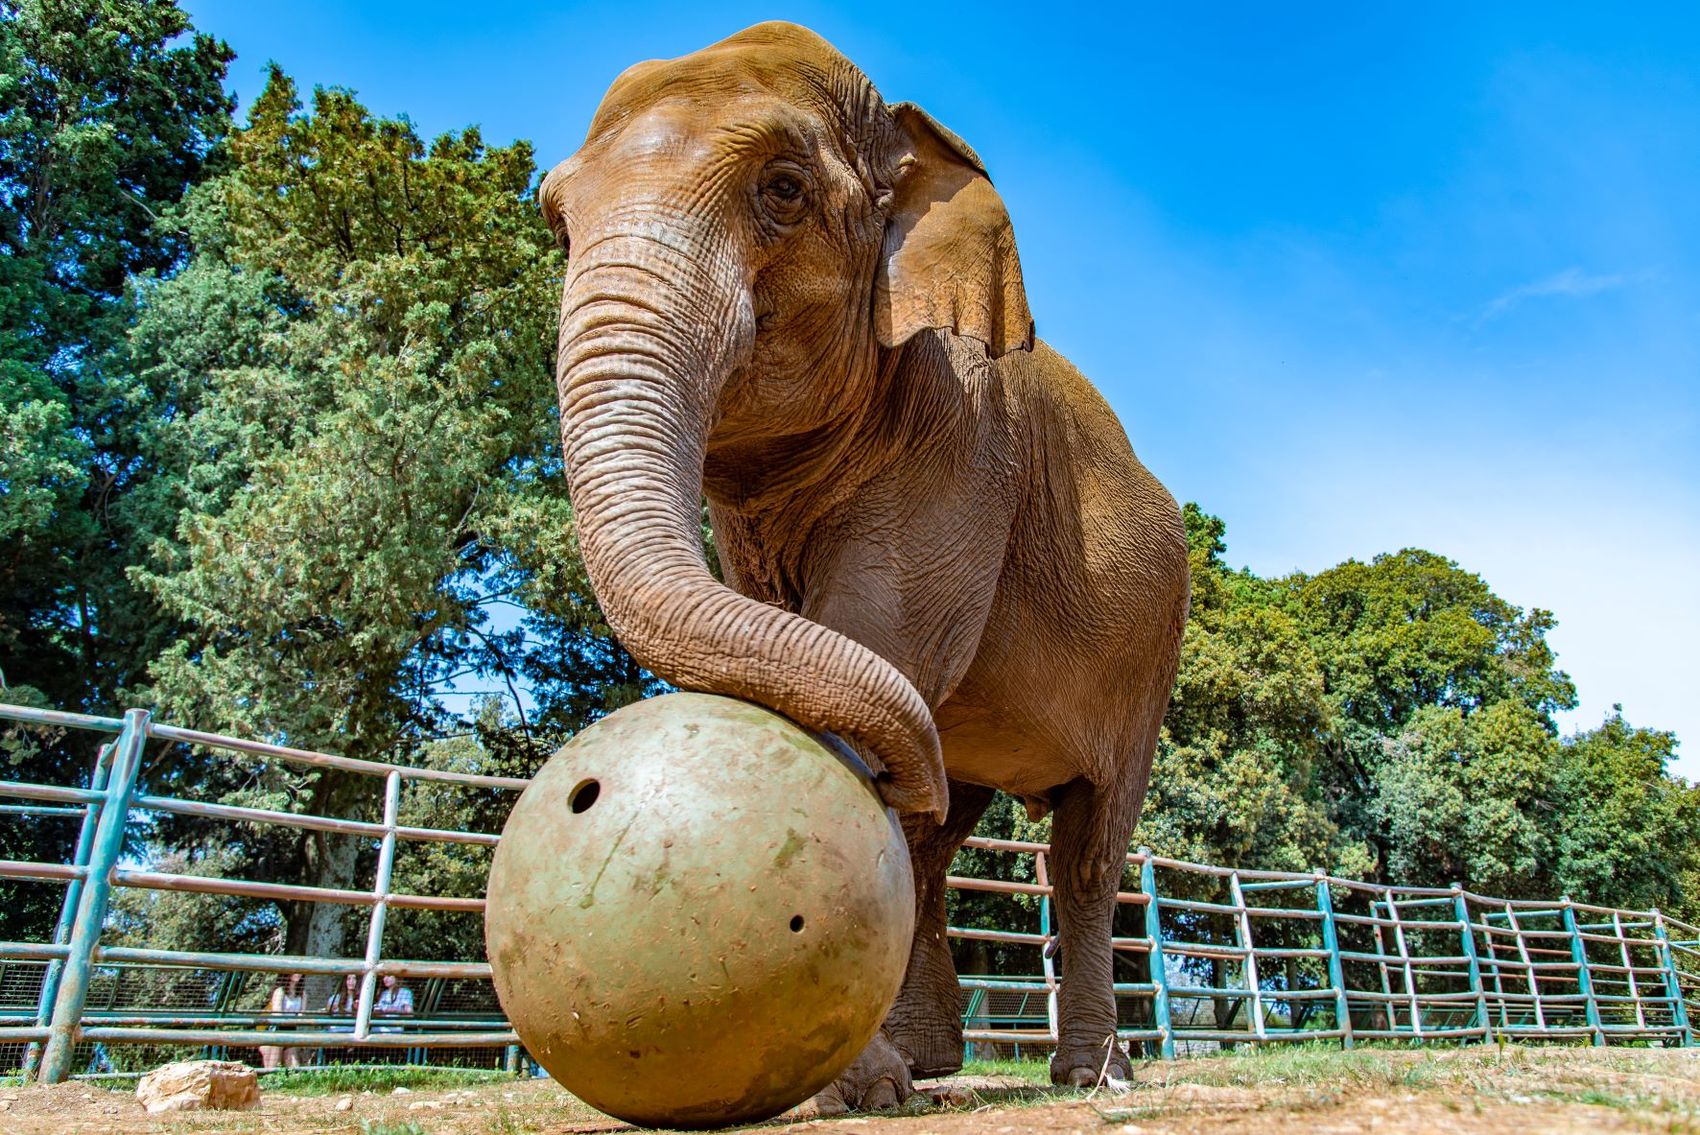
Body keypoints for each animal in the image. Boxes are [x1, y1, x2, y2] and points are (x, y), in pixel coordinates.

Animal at [537, 19, 1190, 1107]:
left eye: (784, 188)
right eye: (554, 222)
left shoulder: (963, 432)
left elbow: (873, 632)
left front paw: (843, 1086)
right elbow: (823, 645)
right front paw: (866, 1080)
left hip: (1151, 655)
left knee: (1087, 846)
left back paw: (1091, 1075)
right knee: (935, 833)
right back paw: (932, 1062)